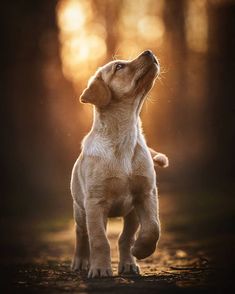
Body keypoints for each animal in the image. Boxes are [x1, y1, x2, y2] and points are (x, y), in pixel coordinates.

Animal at [71, 50, 165, 278]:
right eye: (119, 67)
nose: (149, 51)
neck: (125, 135)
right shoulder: (95, 202)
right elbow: (99, 240)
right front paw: (100, 269)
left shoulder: (146, 193)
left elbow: (153, 228)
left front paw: (141, 250)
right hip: (81, 210)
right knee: (82, 235)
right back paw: (81, 262)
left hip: (131, 214)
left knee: (125, 237)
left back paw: (129, 263)